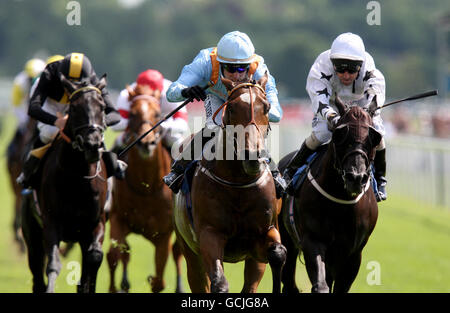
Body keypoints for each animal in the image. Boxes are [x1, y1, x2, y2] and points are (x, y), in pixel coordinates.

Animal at [21, 73, 109, 292]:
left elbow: (94, 258)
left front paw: (84, 285)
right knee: (36, 270)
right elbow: (53, 264)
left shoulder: (95, 223)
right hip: (31, 231)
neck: (78, 178)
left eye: (102, 106)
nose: (92, 144)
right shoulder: (52, 222)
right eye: (74, 108)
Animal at [106, 83, 184, 292]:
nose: (146, 143)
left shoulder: (163, 234)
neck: (146, 188)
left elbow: (159, 280)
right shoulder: (118, 219)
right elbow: (114, 256)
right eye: (132, 114)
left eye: (157, 114)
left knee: (178, 252)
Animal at [174, 74, 286, 292]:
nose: (252, 156)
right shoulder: (209, 234)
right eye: (232, 108)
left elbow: (278, 253)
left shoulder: (263, 234)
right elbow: (219, 282)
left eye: (266, 107)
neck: (238, 183)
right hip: (190, 251)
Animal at [280, 100, 382, 292]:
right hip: (286, 238)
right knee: (288, 280)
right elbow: (321, 285)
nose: (356, 177)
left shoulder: (353, 253)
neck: (341, 201)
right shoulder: (313, 240)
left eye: (373, 138)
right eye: (339, 135)